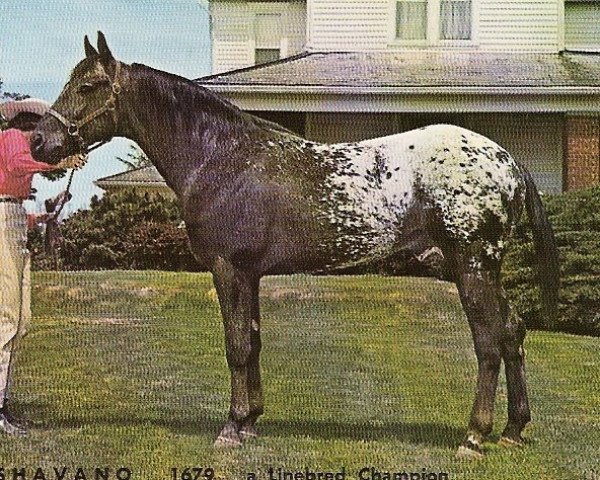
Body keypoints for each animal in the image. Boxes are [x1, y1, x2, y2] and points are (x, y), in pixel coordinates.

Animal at [31, 31, 556, 460]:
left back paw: (475, 436)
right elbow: (254, 341)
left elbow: (236, 345)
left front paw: (231, 428)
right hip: (476, 267)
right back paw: (513, 430)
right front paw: (250, 422)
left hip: (472, 264)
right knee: (512, 332)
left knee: (488, 342)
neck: (223, 158)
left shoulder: (227, 269)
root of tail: (507, 160)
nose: (38, 141)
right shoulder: (250, 274)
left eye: (88, 86)